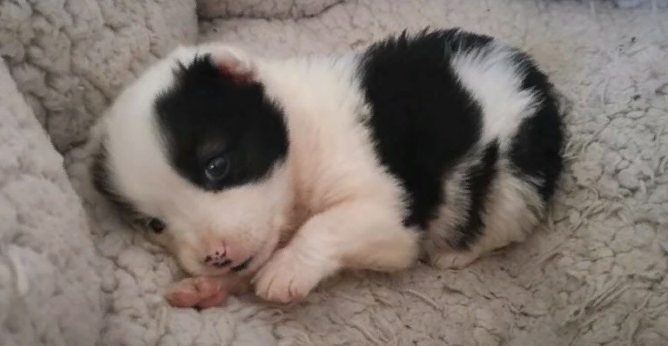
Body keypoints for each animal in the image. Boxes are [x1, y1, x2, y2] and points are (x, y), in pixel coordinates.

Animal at [91, 28, 564, 306]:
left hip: (513, 180)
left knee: (501, 226)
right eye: (155, 225)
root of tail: (529, 72)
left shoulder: (388, 216)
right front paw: (208, 286)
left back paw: (457, 253)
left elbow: (326, 225)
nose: (216, 256)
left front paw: (285, 269)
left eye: (216, 165)